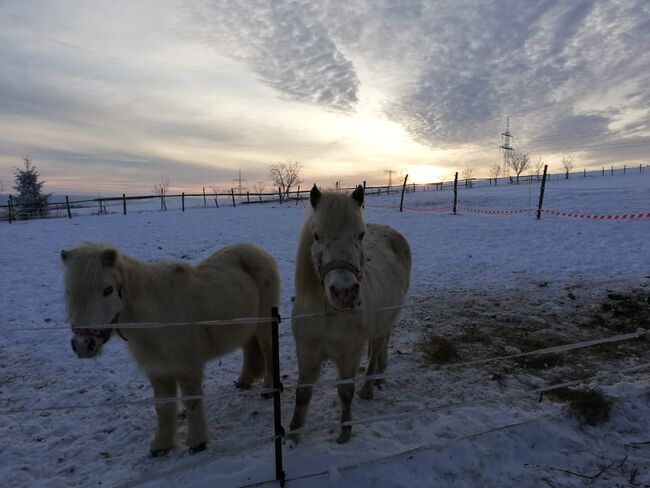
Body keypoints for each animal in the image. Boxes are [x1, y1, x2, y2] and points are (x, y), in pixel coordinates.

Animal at [57, 244, 276, 458]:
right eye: (69, 292)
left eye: (108, 290)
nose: (83, 345)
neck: (155, 319)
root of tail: (255, 250)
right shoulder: (158, 369)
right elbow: (163, 406)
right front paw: (161, 445)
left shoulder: (187, 366)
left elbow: (191, 401)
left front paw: (197, 443)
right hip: (246, 328)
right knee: (249, 350)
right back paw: (244, 381)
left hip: (265, 326)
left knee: (267, 353)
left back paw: (268, 390)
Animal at [290, 185, 410, 444]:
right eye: (317, 236)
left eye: (360, 235)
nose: (344, 292)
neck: (328, 314)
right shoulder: (306, 353)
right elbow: (302, 393)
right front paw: (293, 436)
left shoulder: (348, 355)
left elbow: (345, 392)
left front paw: (345, 432)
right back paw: (379, 377)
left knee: (377, 348)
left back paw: (369, 386)